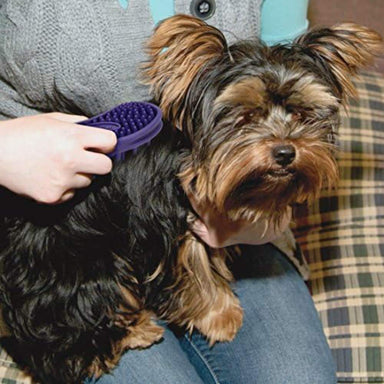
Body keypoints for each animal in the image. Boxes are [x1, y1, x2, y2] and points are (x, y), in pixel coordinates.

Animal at [0, 14, 380, 384]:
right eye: (246, 116)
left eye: (301, 114)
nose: (286, 153)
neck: (190, 157)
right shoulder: (173, 227)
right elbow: (198, 273)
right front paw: (221, 318)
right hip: (81, 264)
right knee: (67, 338)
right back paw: (134, 331)